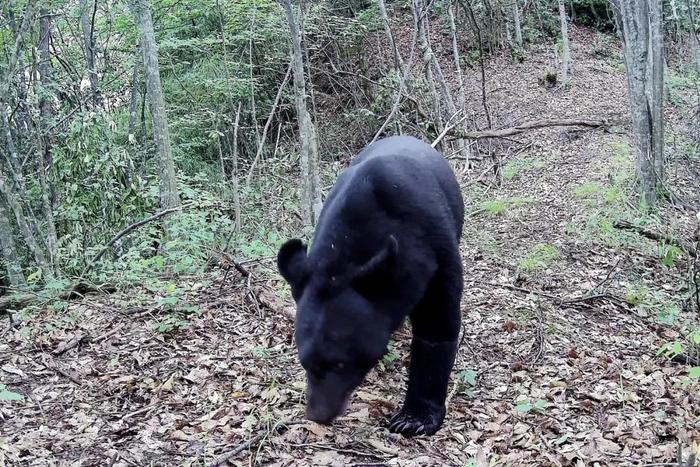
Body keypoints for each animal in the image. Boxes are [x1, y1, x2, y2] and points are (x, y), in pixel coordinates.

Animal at [278, 135, 464, 438]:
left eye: (340, 363)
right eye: (304, 362)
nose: (318, 415)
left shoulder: (434, 250)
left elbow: (437, 327)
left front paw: (414, 418)